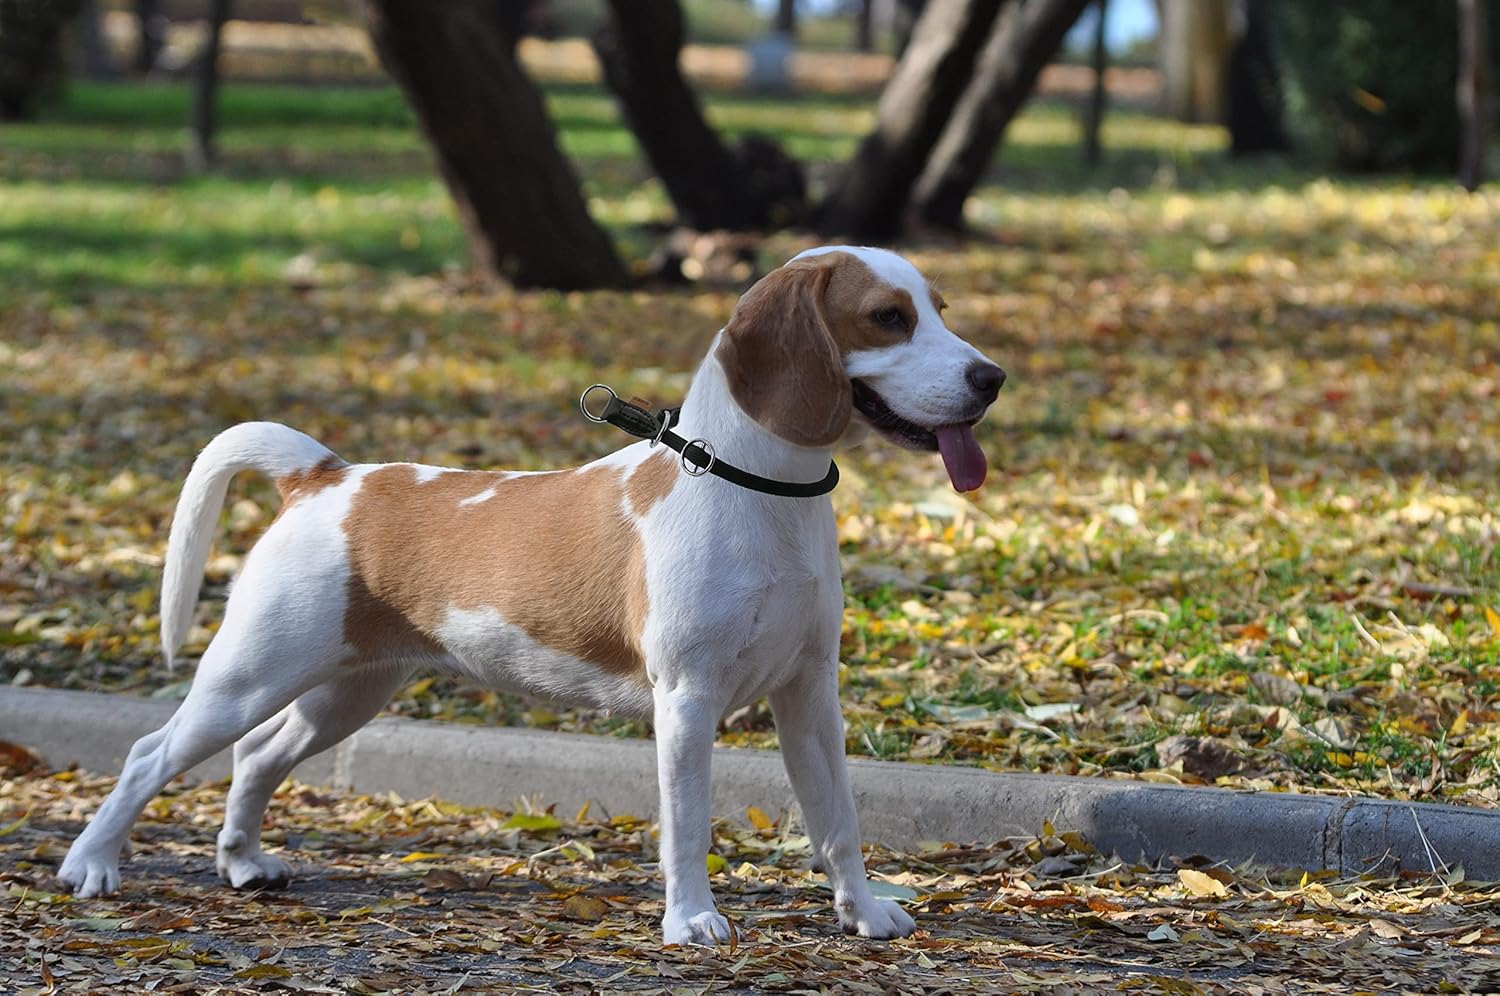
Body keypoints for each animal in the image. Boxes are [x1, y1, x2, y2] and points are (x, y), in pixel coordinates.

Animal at [55, 244, 1008, 948]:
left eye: (940, 308)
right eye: (887, 317)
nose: (992, 378)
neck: (757, 489)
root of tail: (327, 476)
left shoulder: (810, 694)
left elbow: (838, 818)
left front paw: (864, 912)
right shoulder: (687, 702)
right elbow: (688, 826)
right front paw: (692, 921)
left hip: (345, 691)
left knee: (256, 758)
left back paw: (245, 864)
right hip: (247, 678)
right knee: (149, 755)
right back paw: (92, 867)